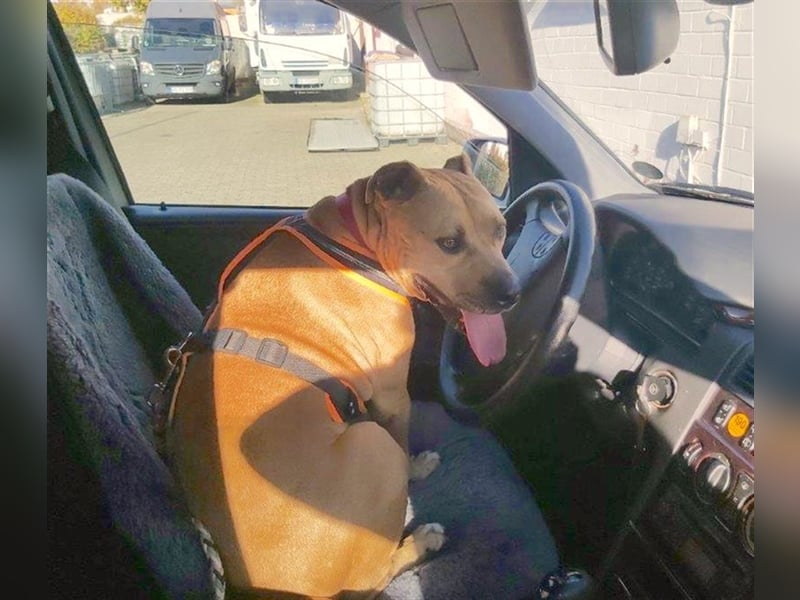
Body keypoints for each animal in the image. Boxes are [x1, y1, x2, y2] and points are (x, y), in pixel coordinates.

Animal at [166, 156, 520, 600]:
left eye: (500, 230)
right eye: (449, 243)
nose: (513, 293)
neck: (354, 243)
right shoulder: (392, 397)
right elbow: (403, 443)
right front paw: (417, 467)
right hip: (373, 447)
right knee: (373, 575)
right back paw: (422, 541)